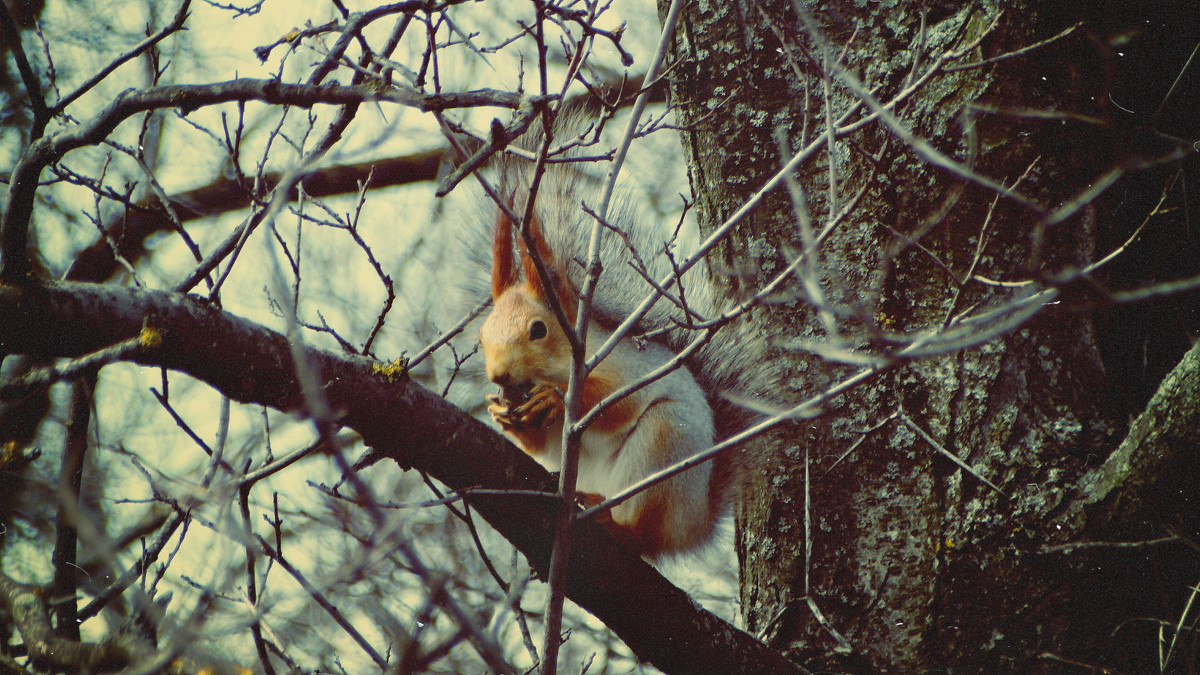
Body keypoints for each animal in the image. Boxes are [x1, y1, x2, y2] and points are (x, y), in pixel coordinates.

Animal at [463, 114, 753, 557]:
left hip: (663, 446)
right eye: (480, 339)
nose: (498, 376)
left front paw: (558, 398)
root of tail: (692, 527)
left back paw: (616, 523)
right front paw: (501, 414)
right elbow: (543, 445)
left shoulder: (626, 367)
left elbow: (617, 402)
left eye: (538, 329)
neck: (560, 363)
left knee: (641, 529)